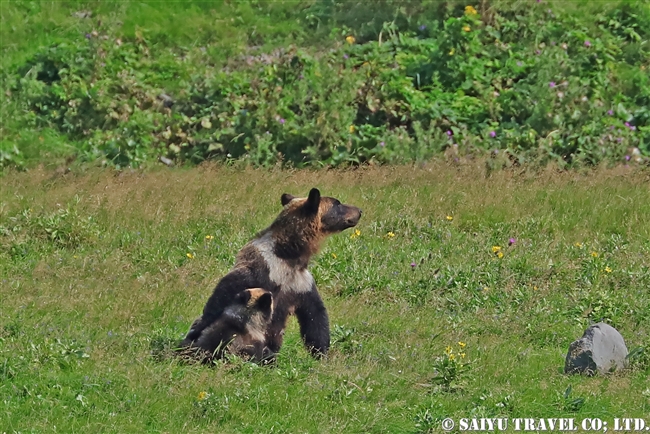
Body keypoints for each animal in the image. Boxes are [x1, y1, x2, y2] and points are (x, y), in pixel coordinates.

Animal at [181, 189, 360, 360]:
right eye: (337, 203)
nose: (359, 210)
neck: (290, 255)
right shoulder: (264, 270)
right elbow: (223, 296)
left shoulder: (300, 282)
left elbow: (315, 316)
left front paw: (321, 353)